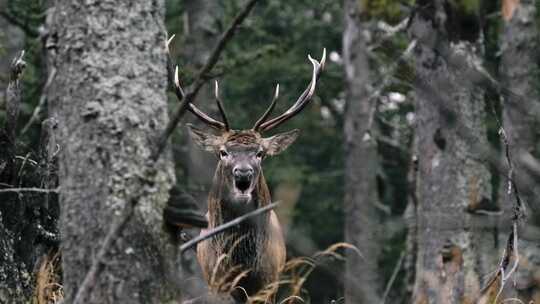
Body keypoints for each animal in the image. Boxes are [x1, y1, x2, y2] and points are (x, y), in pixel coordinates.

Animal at [179, 50, 326, 302]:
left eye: (260, 153)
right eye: (223, 152)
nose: (243, 172)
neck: (242, 265)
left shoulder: (268, 283)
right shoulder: (216, 283)